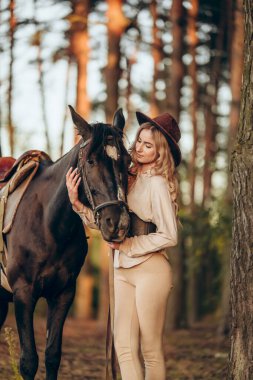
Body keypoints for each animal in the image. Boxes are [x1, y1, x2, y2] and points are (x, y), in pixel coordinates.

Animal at [0, 106, 129, 380]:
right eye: (90, 161)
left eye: (128, 161)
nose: (118, 223)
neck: (48, 225)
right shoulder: (23, 294)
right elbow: (29, 361)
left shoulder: (63, 294)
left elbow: (52, 355)